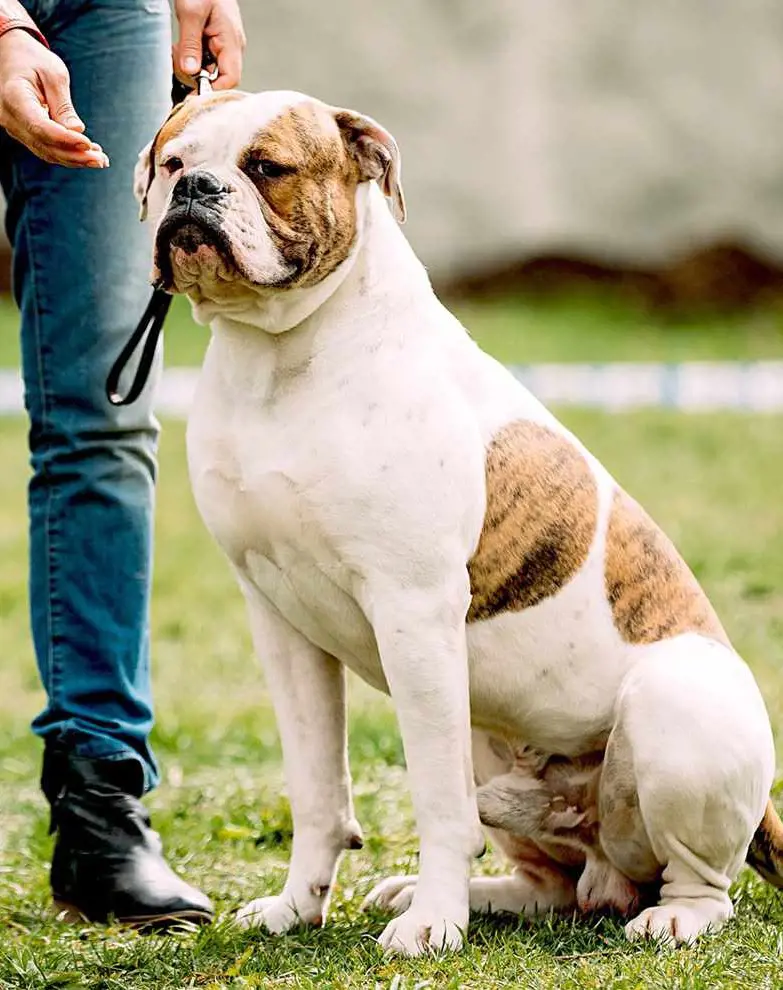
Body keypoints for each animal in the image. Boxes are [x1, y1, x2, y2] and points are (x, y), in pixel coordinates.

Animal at [135, 89, 783, 956]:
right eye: (172, 160)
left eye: (266, 168)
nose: (194, 189)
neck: (276, 358)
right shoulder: (280, 621)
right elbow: (316, 788)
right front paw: (296, 908)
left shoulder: (412, 613)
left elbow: (436, 802)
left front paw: (430, 928)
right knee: (558, 886)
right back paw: (459, 895)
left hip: (674, 701)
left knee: (698, 879)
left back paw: (666, 915)